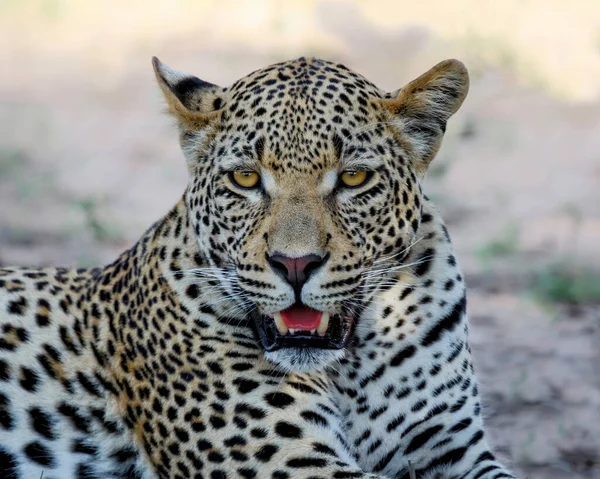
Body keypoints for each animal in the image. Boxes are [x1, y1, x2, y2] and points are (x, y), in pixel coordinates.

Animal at [0, 56, 520, 479]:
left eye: (354, 178)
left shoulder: (450, 447)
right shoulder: (286, 461)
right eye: (246, 178)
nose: (296, 264)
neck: (350, 367)